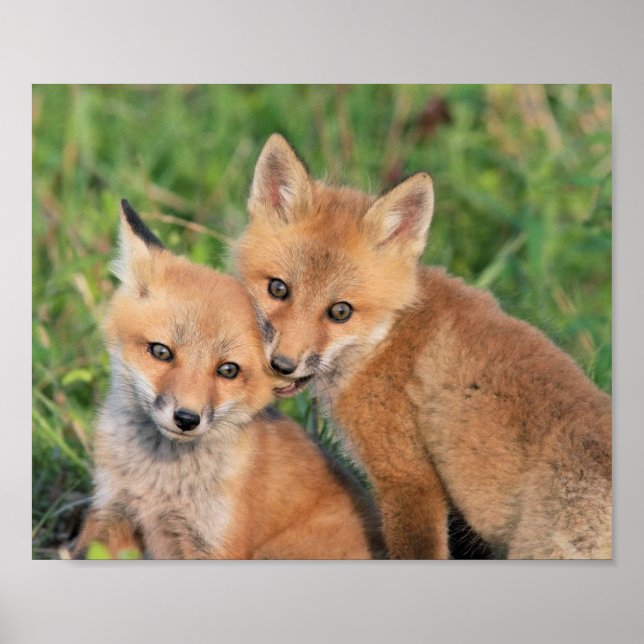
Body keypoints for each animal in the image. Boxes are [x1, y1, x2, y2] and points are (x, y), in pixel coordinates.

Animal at [73, 200, 384, 560]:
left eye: (228, 370)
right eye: (161, 352)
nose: (186, 419)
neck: (159, 485)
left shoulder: (215, 544)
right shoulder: (111, 512)